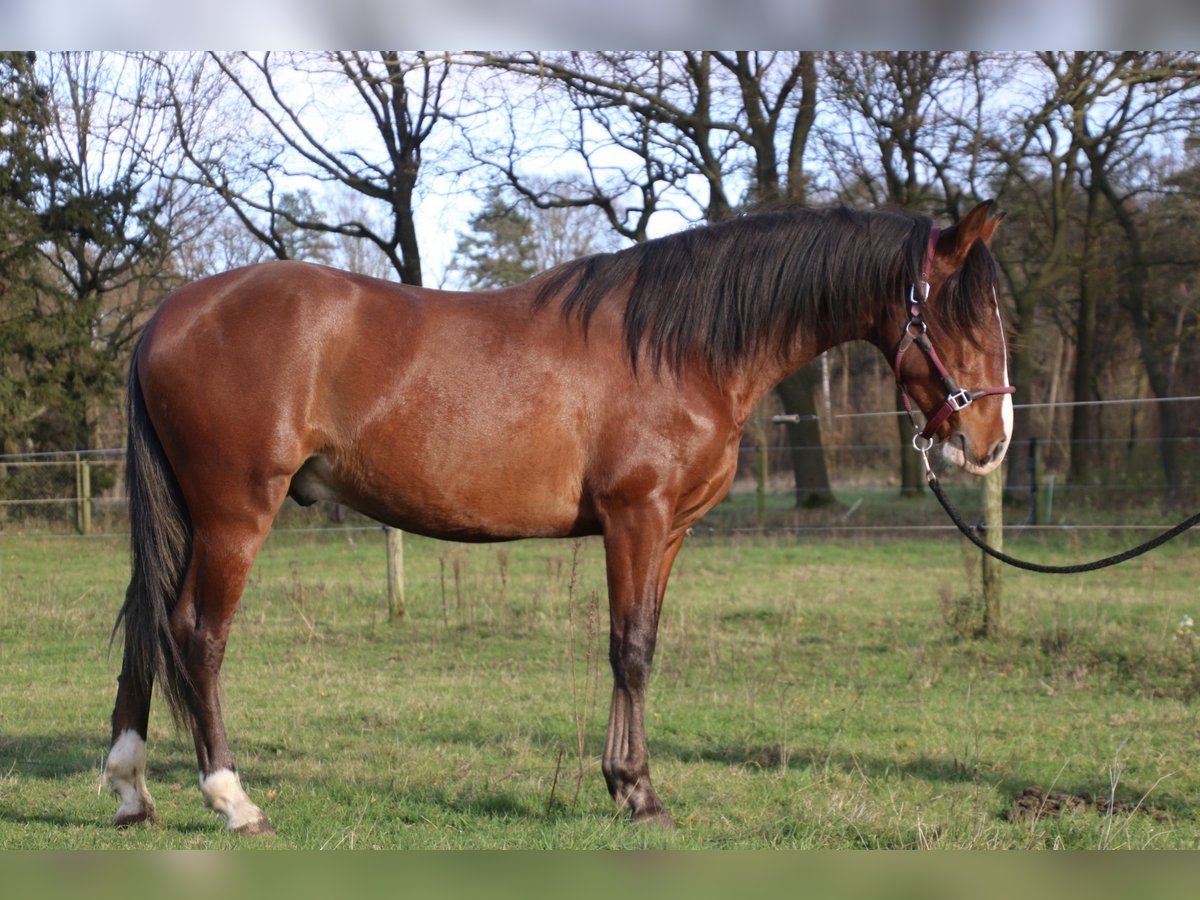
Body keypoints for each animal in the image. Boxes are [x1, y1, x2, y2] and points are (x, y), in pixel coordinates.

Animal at [103, 200, 1012, 835]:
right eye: (959, 315)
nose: (990, 441)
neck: (680, 346)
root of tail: (166, 318)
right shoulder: (636, 518)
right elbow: (630, 650)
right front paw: (638, 794)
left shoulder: (669, 531)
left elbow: (643, 643)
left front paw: (626, 782)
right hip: (234, 514)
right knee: (196, 634)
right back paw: (232, 799)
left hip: (188, 515)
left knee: (147, 627)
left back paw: (131, 792)